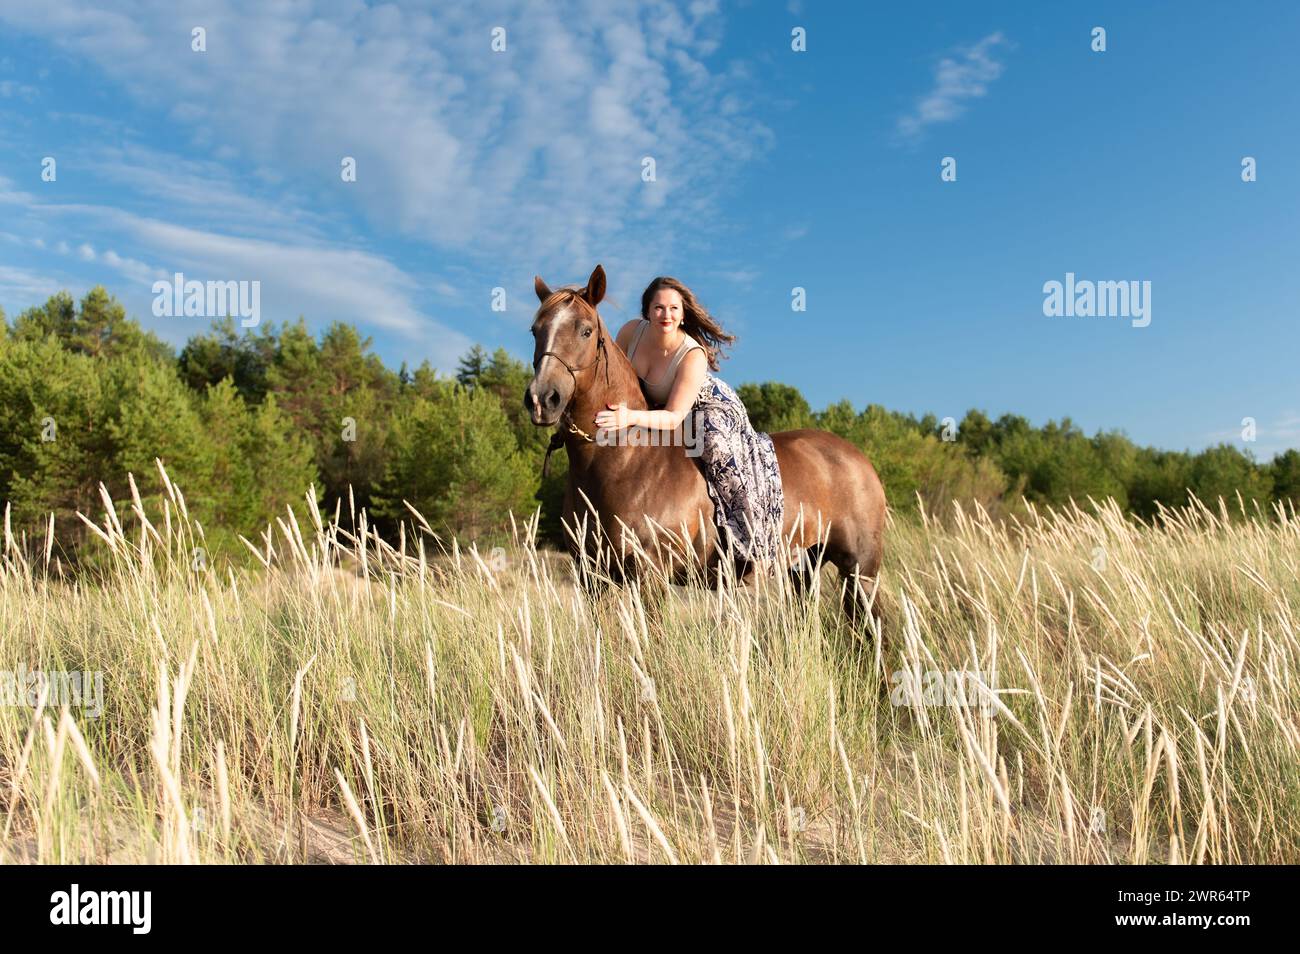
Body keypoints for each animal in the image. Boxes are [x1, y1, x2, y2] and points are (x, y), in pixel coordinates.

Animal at [524, 264, 887, 623]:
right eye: (535, 330)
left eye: (585, 331)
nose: (542, 399)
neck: (626, 459)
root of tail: (857, 457)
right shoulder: (592, 576)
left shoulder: (651, 573)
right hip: (806, 567)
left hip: (860, 570)